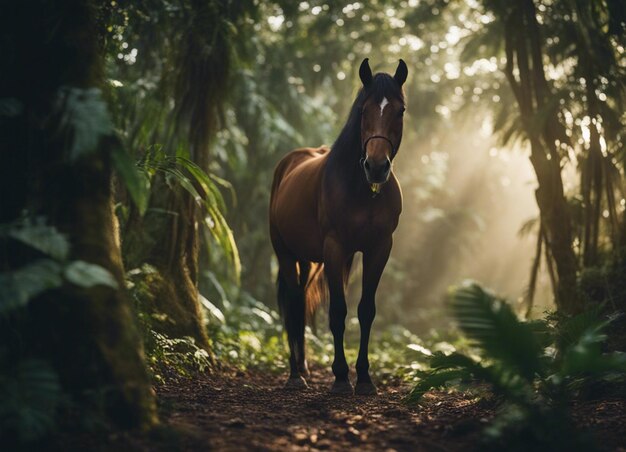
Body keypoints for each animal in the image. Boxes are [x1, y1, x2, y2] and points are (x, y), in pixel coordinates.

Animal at [266, 59, 404, 396]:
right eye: (364, 110)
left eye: (400, 110)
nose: (376, 167)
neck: (360, 188)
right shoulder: (334, 248)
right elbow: (338, 312)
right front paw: (341, 377)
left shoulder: (378, 249)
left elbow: (366, 310)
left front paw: (364, 377)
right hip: (285, 253)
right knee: (293, 302)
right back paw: (295, 374)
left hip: (308, 258)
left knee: (301, 302)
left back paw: (302, 366)